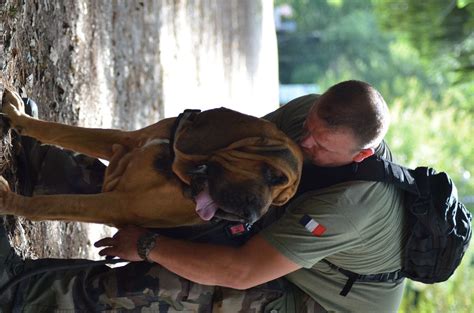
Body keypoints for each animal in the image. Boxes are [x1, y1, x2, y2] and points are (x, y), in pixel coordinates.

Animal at [0, 89, 302, 228]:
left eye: (280, 201)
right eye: (273, 175)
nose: (249, 219)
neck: (173, 160)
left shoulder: (117, 206)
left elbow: (50, 204)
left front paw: (9, 201)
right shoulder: (123, 141)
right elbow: (62, 131)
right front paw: (20, 117)